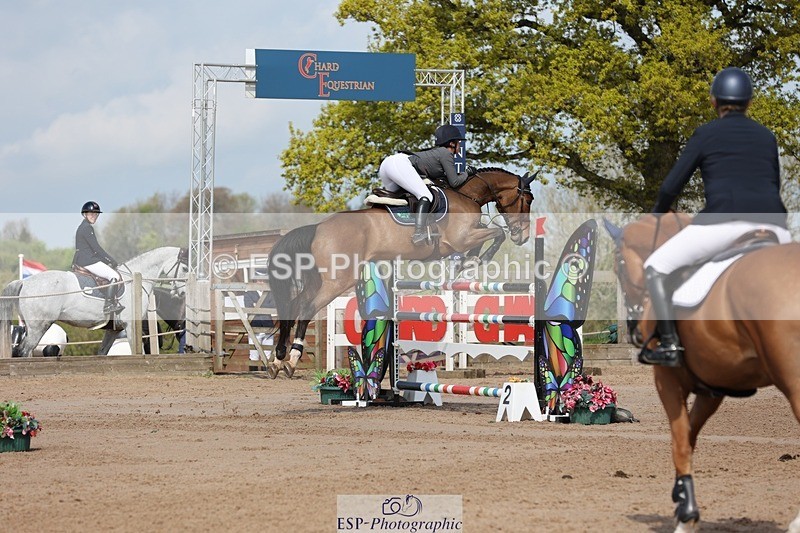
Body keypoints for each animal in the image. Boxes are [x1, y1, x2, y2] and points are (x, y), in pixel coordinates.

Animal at [0, 246, 188, 358]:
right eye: (185, 268)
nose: (184, 292)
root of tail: (25, 282)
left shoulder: (113, 330)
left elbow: (102, 353)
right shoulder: (131, 326)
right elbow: (135, 351)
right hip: (38, 326)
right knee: (23, 351)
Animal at [266, 167, 535, 378]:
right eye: (528, 200)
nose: (523, 237)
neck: (466, 194)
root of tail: (318, 229)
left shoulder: (465, 238)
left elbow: (487, 238)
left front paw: (467, 262)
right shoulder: (463, 238)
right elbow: (496, 233)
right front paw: (477, 259)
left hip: (318, 280)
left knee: (295, 304)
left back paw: (278, 359)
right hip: (337, 281)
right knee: (307, 308)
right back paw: (292, 359)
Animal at [604, 213, 800, 532]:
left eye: (618, 263)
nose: (635, 330)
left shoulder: (667, 381)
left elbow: (681, 440)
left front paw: (687, 515)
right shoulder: (713, 388)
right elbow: (690, 434)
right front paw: (680, 497)